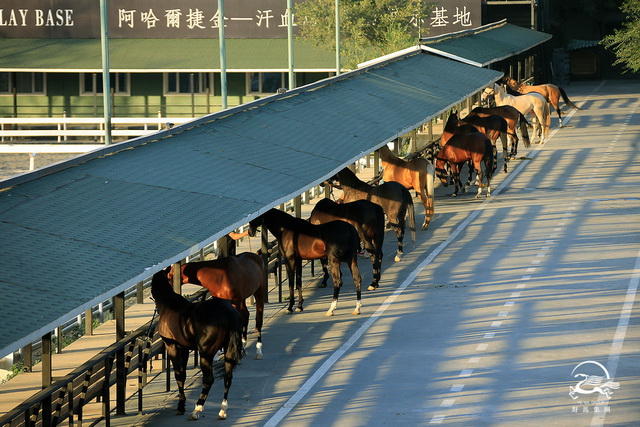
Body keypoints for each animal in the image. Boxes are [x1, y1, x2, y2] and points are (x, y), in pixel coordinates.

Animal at [150, 270, 245, 422]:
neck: (169, 305)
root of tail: (228, 313)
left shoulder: (172, 346)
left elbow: (178, 375)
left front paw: (181, 406)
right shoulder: (184, 348)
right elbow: (182, 374)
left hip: (206, 353)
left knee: (208, 379)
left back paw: (197, 409)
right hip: (229, 350)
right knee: (228, 376)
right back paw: (222, 410)